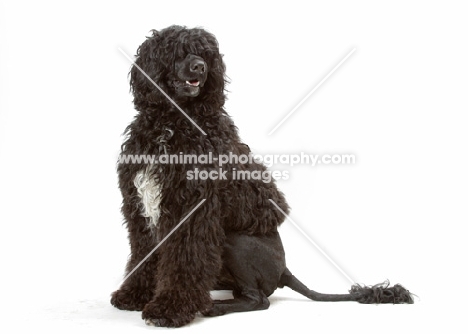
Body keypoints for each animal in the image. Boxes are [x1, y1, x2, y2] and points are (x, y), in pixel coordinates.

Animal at [110, 25, 414, 326]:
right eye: (176, 51)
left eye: (206, 54)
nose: (200, 67)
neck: (173, 123)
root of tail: (284, 270)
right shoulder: (141, 209)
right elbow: (144, 255)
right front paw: (135, 295)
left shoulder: (193, 213)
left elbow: (186, 262)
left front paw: (170, 309)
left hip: (234, 240)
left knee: (258, 299)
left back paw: (212, 307)